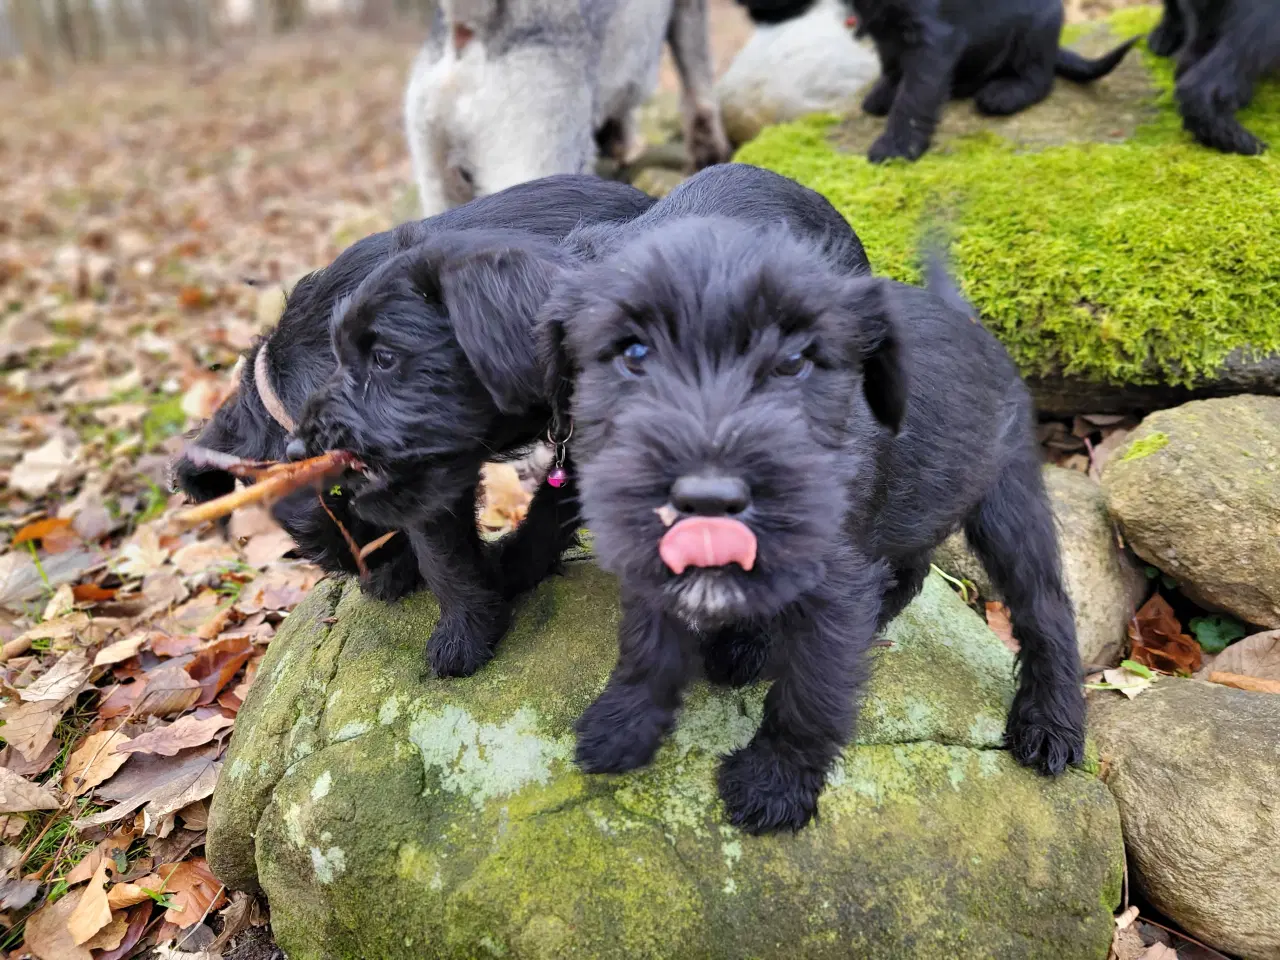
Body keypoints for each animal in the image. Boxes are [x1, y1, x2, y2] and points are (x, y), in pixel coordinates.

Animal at [540, 168, 1080, 829]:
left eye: (792, 360)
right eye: (633, 352)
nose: (708, 488)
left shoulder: (834, 581)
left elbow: (812, 689)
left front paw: (776, 782)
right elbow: (647, 645)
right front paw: (625, 724)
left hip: (1007, 502)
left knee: (1045, 606)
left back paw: (1051, 722)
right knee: (911, 568)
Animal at [849, 0, 1141, 162]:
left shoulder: (933, 40)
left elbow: (914, 95)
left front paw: (896, 146)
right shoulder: (884, 30)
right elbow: (892, 64)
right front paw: (884, 92)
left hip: (1034, 30)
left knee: (1039, 76)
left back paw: (1005, 94)